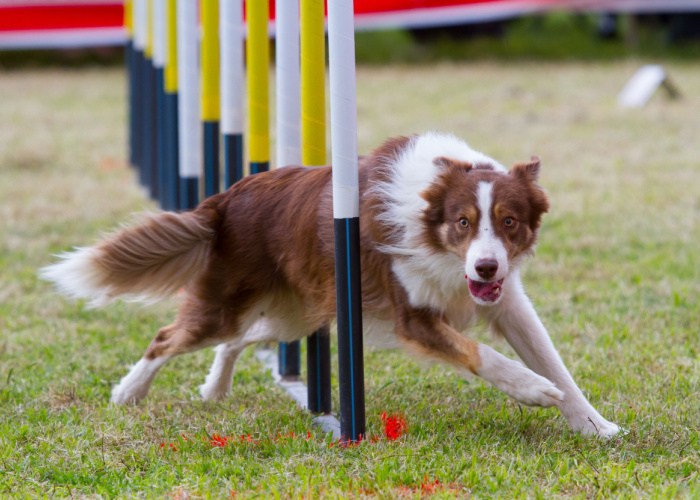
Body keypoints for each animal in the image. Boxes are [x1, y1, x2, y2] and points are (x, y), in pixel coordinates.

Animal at [42, 133, 616, 438]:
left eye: (509, 221)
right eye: (462, 223)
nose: (487, 269)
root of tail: (223, 200)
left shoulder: (510, 304)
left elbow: (554, 362)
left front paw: (595, 425)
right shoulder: (413, 318)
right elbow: (484, 356)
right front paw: (533, 390)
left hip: (301, 312)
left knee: (242, 339)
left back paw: (215, 388)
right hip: (228, 306)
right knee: (169, 337)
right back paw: (129, 392)